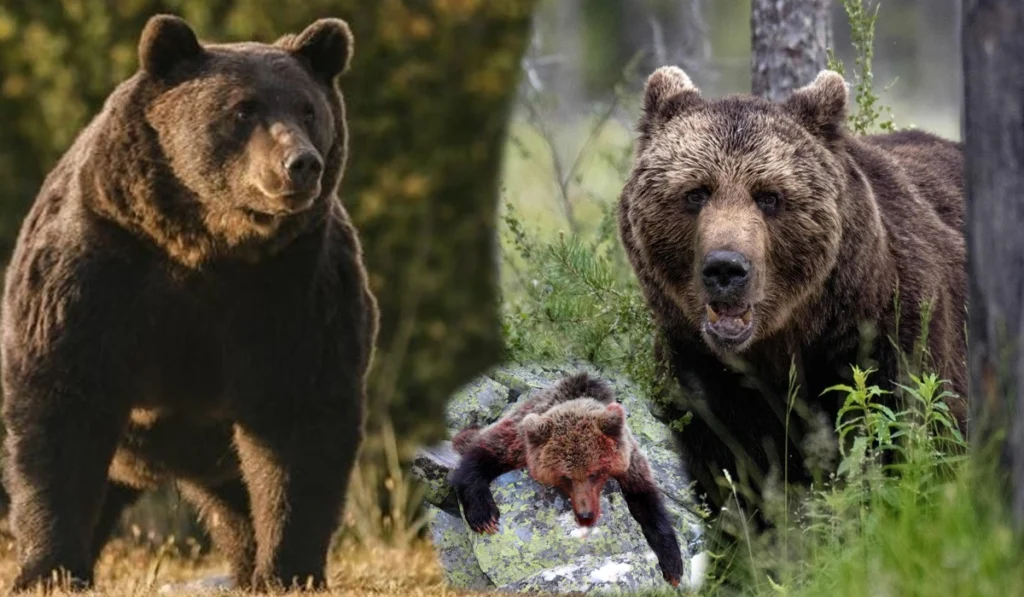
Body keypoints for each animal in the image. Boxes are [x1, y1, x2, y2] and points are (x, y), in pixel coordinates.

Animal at [0, 14, 377, 592]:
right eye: (243, 108)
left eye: (309, 109)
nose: (301, 164)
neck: (206, 244)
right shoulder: (97, 272)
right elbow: (61, 409)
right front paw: (50, 570)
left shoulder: (295, 290)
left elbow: (299, 424)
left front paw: (288, 570)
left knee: (239, 505)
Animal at [449, 372, 684, 586]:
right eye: (565, 477)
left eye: (594, 473)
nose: (586, 515)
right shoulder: (519, 442)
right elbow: (482, 452)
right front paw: (483, 515)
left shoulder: (629, 464)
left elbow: (646, 498)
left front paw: (672, 564)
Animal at [617, 67, 967, 519]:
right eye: (696, 192)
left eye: (769, 196)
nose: (725, 268)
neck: (786, 342)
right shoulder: (703, 373)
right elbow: (732, 474)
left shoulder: (891, 338)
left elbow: (906, 439)